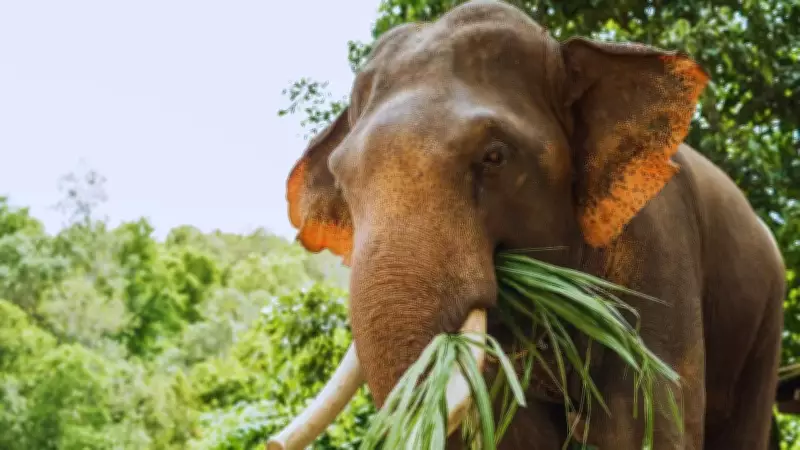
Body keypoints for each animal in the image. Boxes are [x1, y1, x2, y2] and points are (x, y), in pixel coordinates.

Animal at [269, 0, 787, 449]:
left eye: (495, 157)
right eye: (341, 180)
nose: (271, 443)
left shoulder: (660, 237)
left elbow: (642, 419)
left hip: (767, 312)